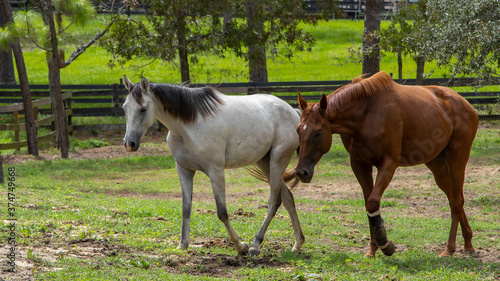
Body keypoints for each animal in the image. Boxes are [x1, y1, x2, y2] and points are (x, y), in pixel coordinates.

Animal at [123, 75, 302, 255]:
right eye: (125, 108)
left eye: (143, 109)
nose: (129, 144)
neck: (188, 127)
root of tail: (293, 111)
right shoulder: (184, 170)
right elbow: (186, 208)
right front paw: (183, 244)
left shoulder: (215, 171)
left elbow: (222, 212)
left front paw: (240, 246)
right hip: (264, 162)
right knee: (287, 198)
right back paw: (297, 243)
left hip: (277, 161)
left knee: (274, 202)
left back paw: (255, 244)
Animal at [294, 70, 478, 256]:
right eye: (298, 130)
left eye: (318, 131)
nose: (301, 172)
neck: (365, 115)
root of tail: (465, 104)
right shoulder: (359, 165)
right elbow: (368, 202)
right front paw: (372, 249)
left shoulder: (389, 163)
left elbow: (373, 202)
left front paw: (385, 244)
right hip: (437, 166)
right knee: (456, 198)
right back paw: (468, 242)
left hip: (457, 161)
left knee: (456, 202)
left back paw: (450, 248)